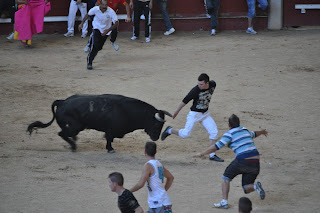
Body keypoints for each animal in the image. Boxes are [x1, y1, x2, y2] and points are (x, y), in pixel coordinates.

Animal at [27, 94, 172, 152]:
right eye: (157, 124)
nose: (156, 138)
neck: (129, 111)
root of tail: (62, 101)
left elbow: (109, 138)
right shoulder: (111, 130)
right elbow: (109, 138)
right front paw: (110, 149)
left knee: (64, 131)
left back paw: (74, 141)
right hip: (76, 126)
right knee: (62, 133)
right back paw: (73, 146)